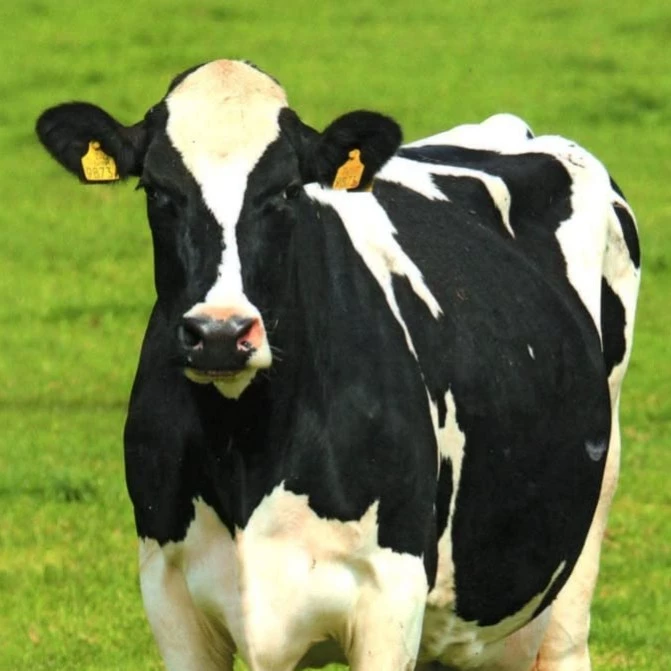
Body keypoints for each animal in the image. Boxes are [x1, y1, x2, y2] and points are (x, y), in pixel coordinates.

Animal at [36, 59, 640, 671]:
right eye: (156, 190)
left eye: (285, 191)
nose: (220, 334)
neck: (246, 449)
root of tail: (511, 129)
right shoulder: (169, 593)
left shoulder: (391, 598)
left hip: (585, 533)